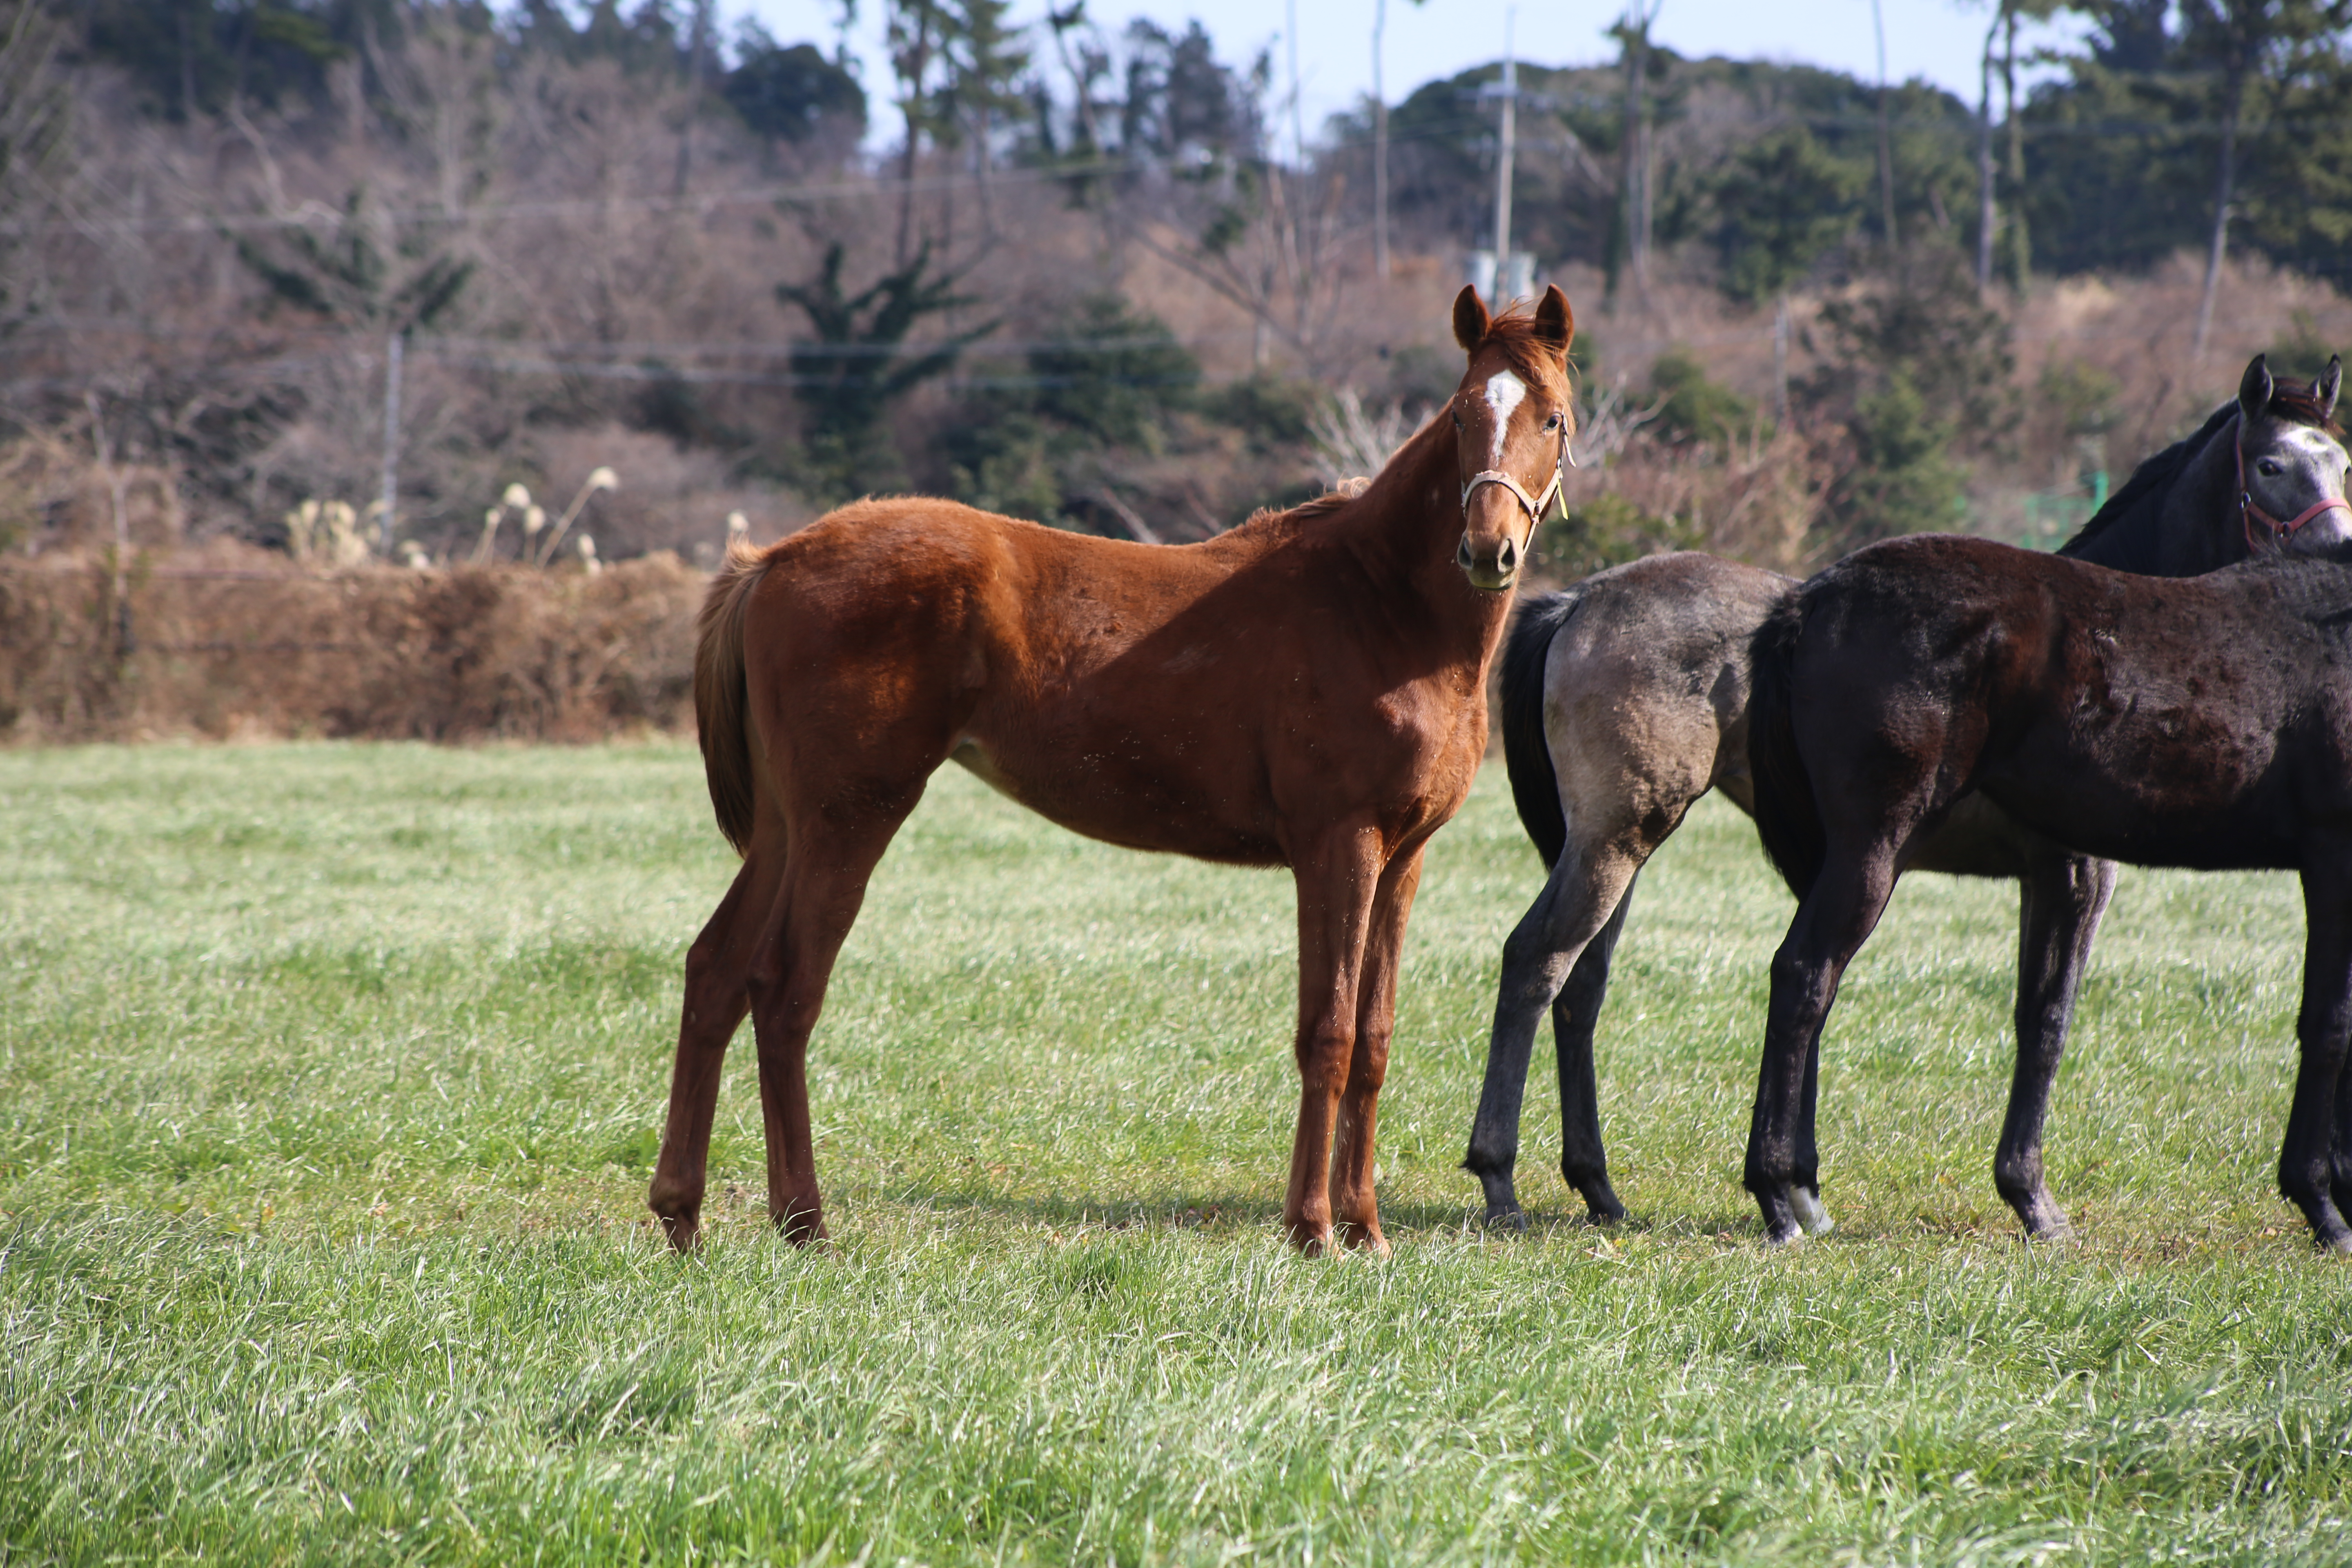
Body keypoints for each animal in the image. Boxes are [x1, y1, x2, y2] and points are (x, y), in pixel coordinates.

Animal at [644, 288, 1580, 1260]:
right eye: (1464, 415)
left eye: (1552, 417)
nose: (1487, 551)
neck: (1378, 607)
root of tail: (770, 561)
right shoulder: (1339, 846)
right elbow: (1327, 1031)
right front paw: (1314, 1229)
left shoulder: (1403, 859)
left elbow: (1375, 1036)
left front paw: (1365, 1228)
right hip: (850, 818)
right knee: (785, 990)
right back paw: (806, 1222)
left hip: (788, 827)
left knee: (716, 971)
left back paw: (684, 1213)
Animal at [1759, 533, 2352, 1260]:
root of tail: (1816, 597)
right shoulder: (2333, 855)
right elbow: (2329, 1026)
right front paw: (2322, 1204)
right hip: (1871, 850)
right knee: (1804, 977)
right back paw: (1777, 1198)